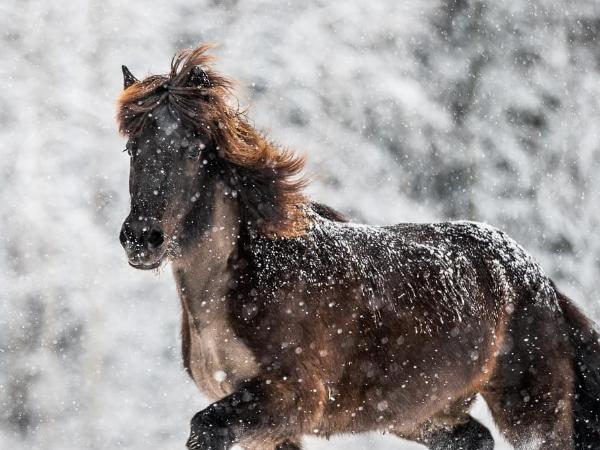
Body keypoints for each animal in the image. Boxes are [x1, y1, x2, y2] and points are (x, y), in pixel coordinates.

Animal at [116, 44, 600, 450]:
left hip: (533, 411)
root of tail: (537, 277)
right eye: (132, 149)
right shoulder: (271, 427)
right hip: (421, 414)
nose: (141, 238)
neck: (238, 284)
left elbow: (204, 428)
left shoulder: (289, 398)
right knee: (474, 439)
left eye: (193, 149)